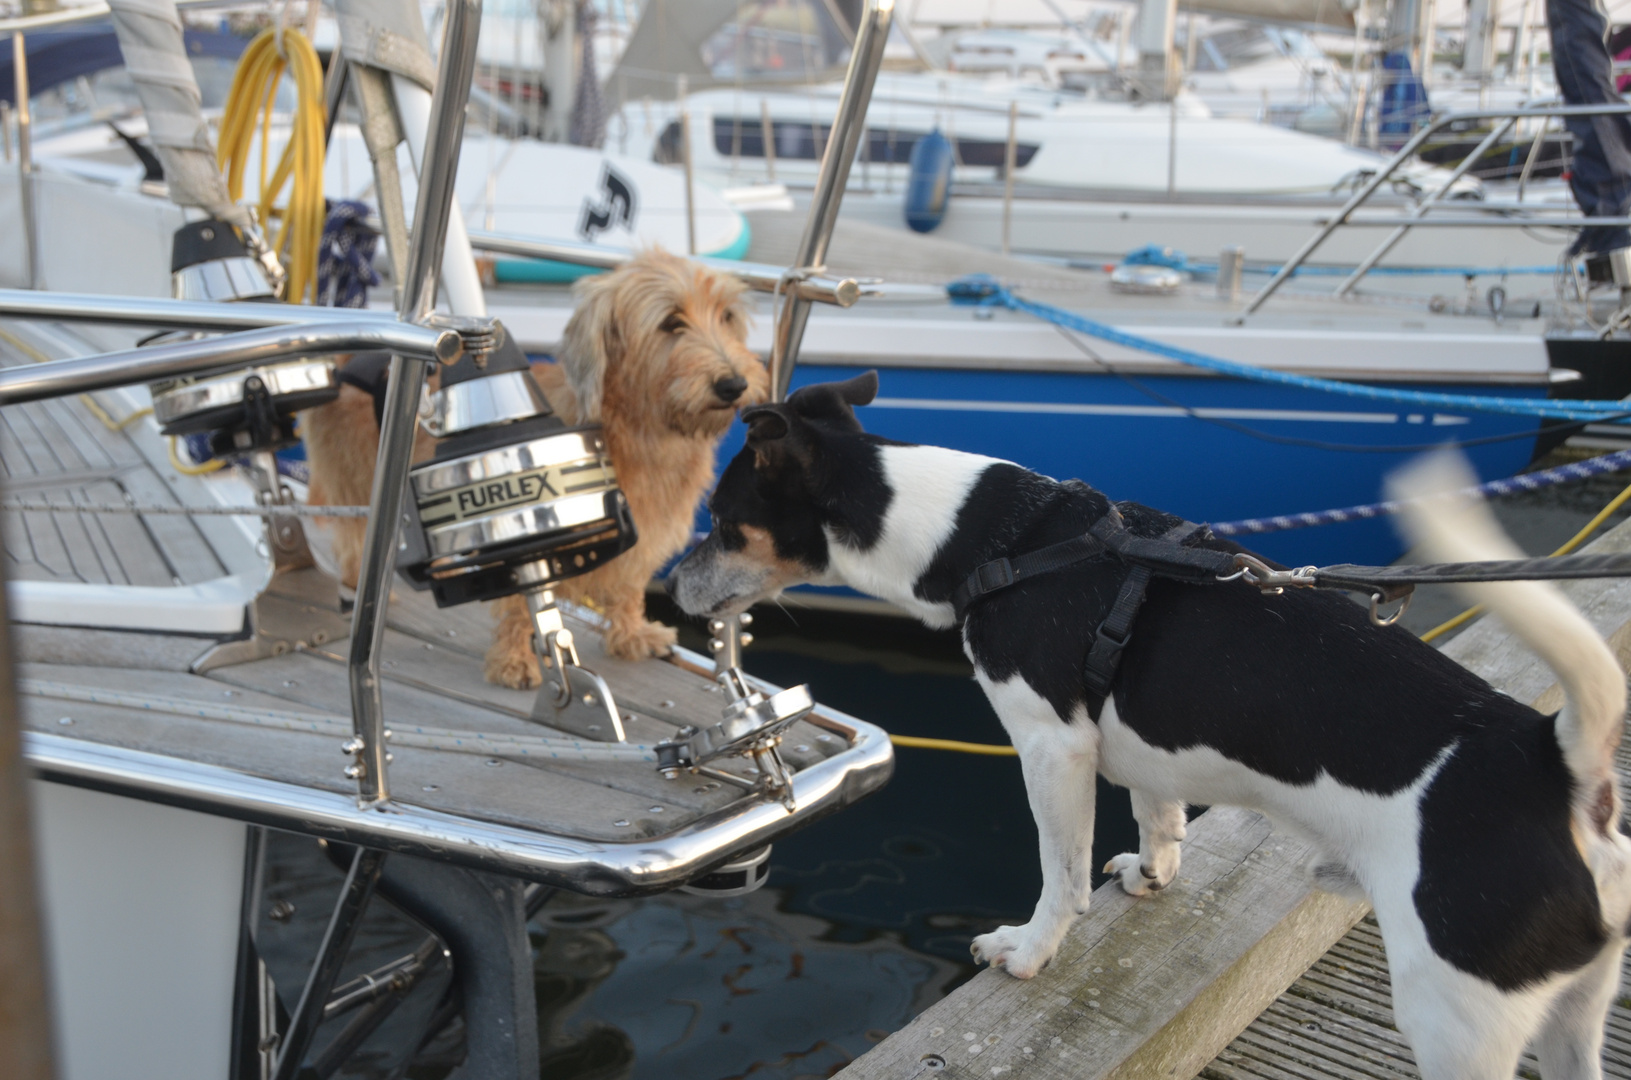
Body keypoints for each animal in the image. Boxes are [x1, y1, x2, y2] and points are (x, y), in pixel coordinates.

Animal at [306, 249, 769, 688]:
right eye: (671, 322)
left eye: (727, 316)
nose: (734, 384)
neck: (641, 429)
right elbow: (520, 598)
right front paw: (514, 660)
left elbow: (627, 586)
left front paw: (632, 634)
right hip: (356, 482)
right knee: (355, 544)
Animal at [668, 375, 1631, 1080]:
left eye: (722, 523)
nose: (670, 588)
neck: (989, 536)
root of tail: (1551, 767)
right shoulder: (1130, 746)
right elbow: (1157, 814)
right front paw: (1154, 874)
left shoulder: (1051, 747)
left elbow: (1058, 877)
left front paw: (1030, 950)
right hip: (1573, 1014)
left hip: (1454, 1014)